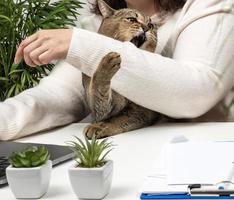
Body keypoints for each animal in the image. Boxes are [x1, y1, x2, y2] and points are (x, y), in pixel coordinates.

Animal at [82, 0, 161, 138]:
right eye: (131, 19)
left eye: (150, 25)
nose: (146, 28)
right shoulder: (102, 110)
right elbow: (99, 95)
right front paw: (106, 65)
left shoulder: (142, 109)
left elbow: (119, 118)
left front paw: (97, 127)